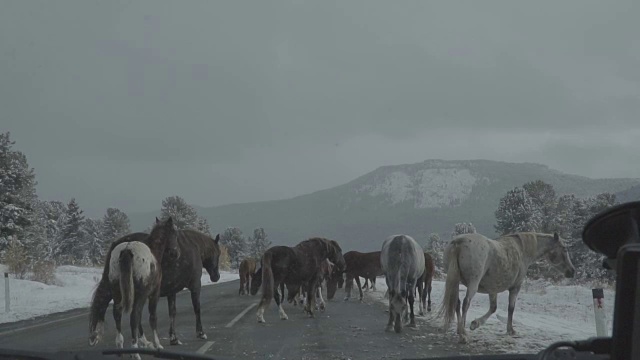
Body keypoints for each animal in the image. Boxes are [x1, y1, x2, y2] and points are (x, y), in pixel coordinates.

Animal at [89, 226, 221, 348]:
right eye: (218, 253)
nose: (216, 276)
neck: (194, 247)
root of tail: (122, 247)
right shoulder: (195, 286)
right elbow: (196, 308)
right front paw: (201, 333)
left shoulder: (171, 291)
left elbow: (172, 312)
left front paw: (173, 338)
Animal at [107, 215, 178, 356]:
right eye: (174, 232)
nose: (175, 253)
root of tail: (127, 250)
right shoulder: (154, 294)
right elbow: (152, 317)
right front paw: (157, 344)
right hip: (140, 295)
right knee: (134, 316)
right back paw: (135, 351)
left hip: (117, 293)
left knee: (118, 314)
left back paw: (120, 346)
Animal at [438, 231, 576, 344]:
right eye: (564, 249)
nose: (572, 271)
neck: (522, 251)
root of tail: (458, 242)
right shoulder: (515, 287)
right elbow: (511, 308)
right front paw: (510, 330)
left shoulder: (492, 289)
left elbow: (493, 308)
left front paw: (475, 323)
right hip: (473, 284)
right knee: (465, 303)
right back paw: (463, 335)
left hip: (456, 282)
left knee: (456, 303)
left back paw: (460, 329)